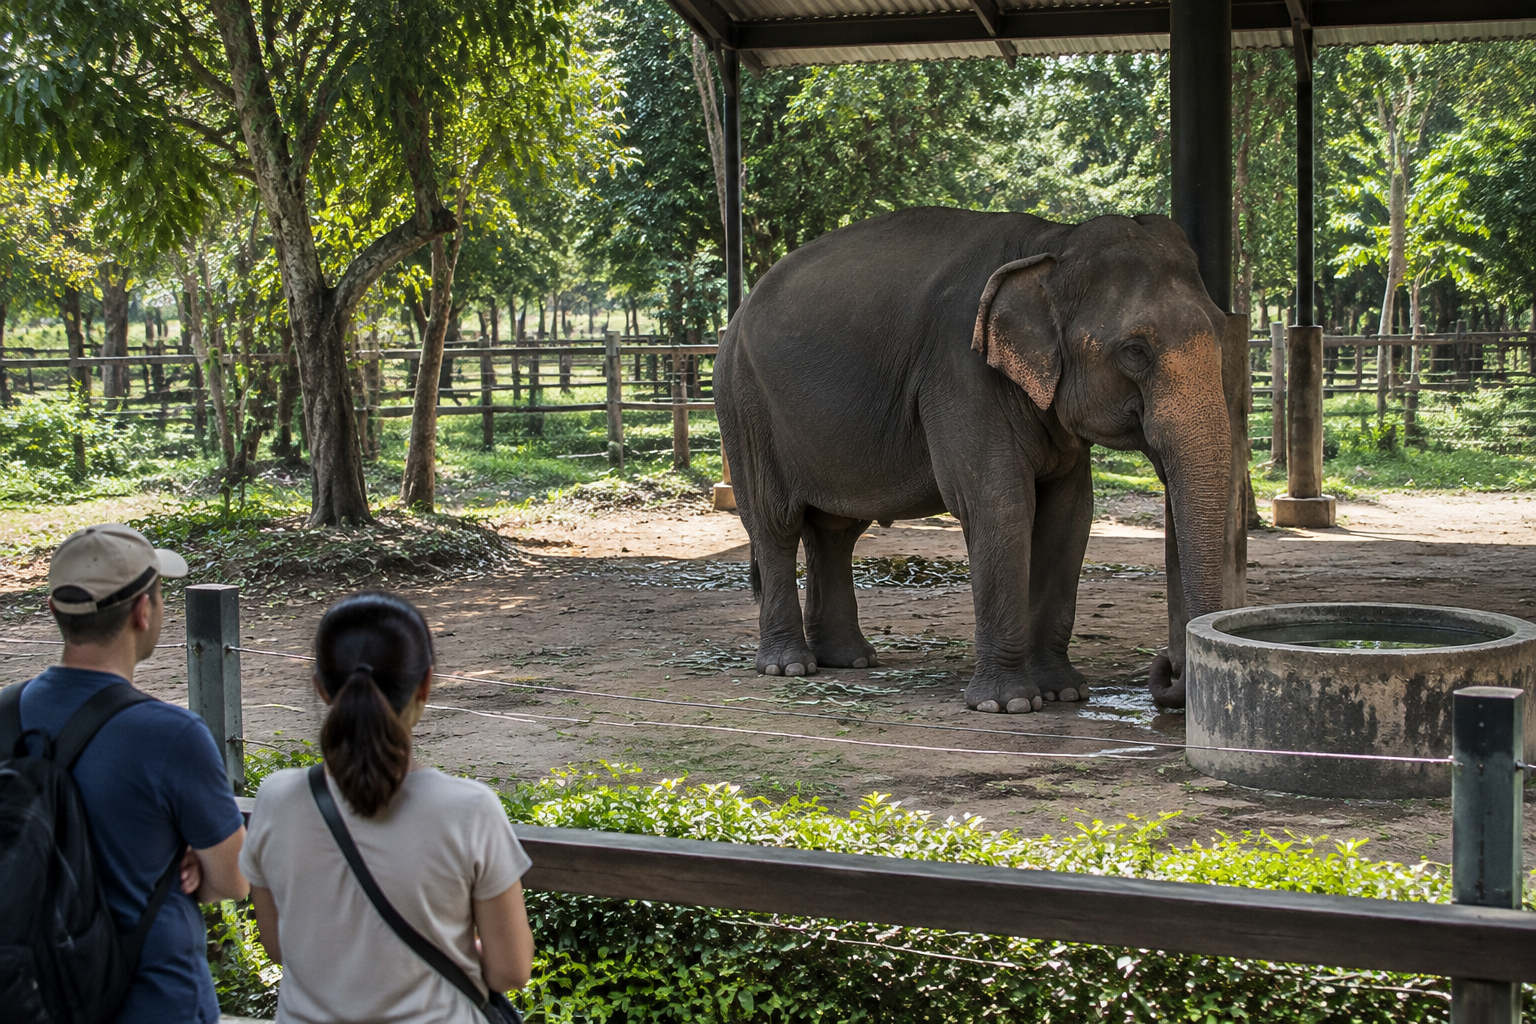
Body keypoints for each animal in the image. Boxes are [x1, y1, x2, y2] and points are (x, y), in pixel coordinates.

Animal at [713, 206, 1231, 713]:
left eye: (1222, 333)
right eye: (1135, 351)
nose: (1167, 670)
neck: (1053, 241)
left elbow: (1069, 515)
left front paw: (1064, 693)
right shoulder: (961, 373)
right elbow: (1000, 505)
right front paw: (1010, 704)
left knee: (835, 531)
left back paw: (850, 660)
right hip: (744, 405)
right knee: (775, 524)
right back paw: (789, 667)